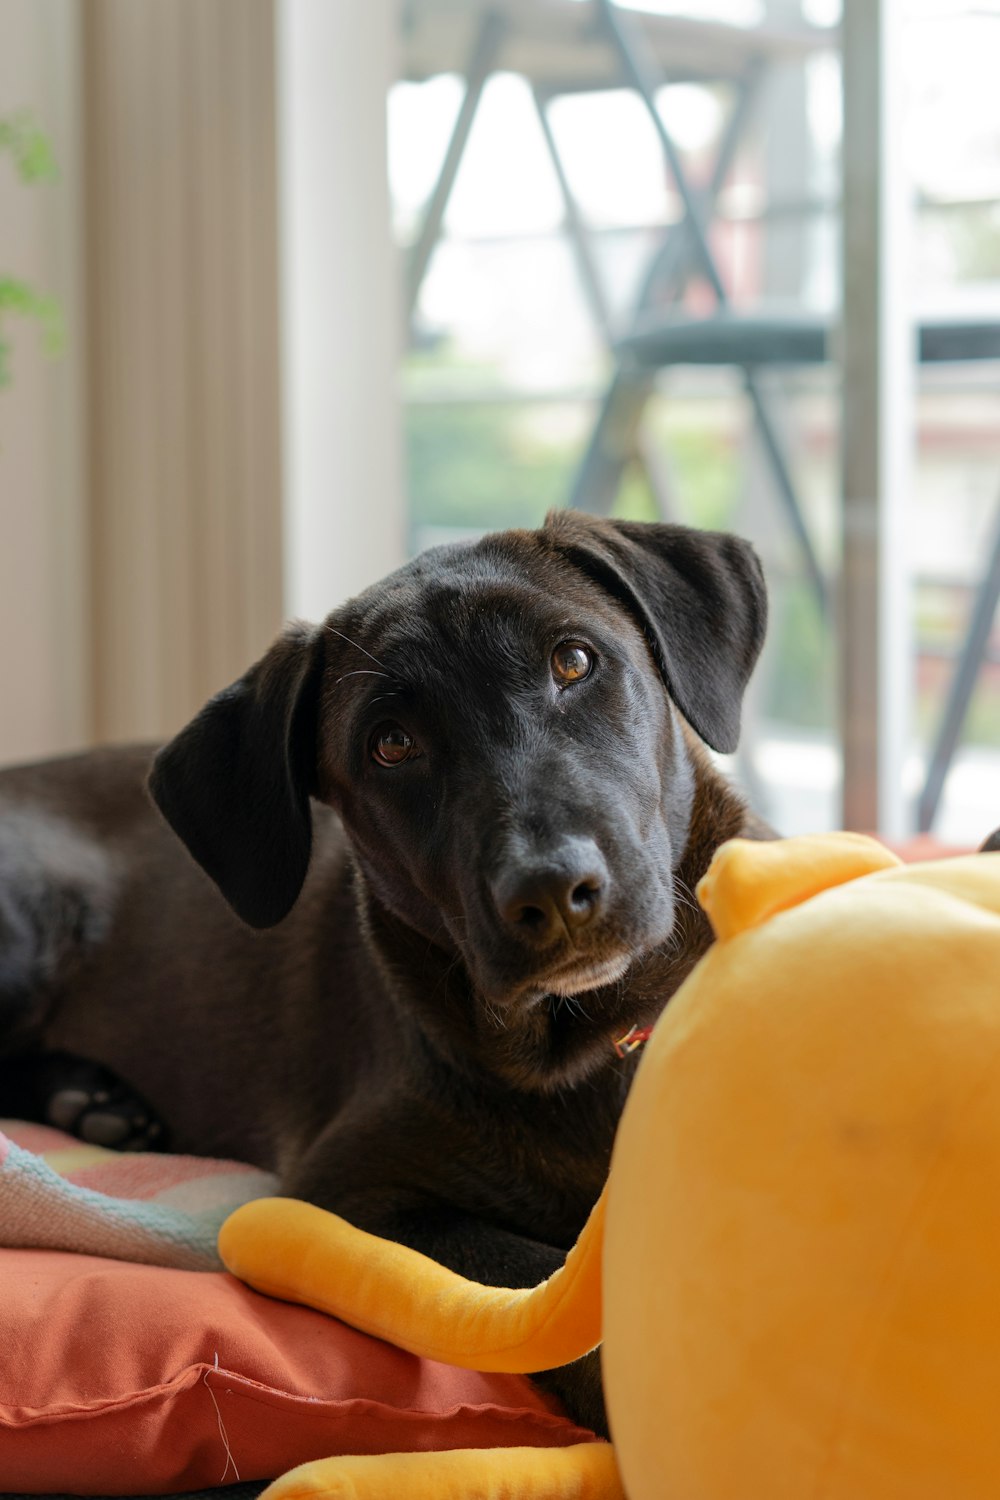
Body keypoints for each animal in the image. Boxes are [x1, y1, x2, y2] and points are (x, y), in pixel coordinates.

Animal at [0, 507, 773, 1428]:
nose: (552, 891)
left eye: (575, 662)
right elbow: (539, 1284)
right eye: (391, 745)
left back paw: (95, 1104)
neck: (587, 1043)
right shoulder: (342, 1192)